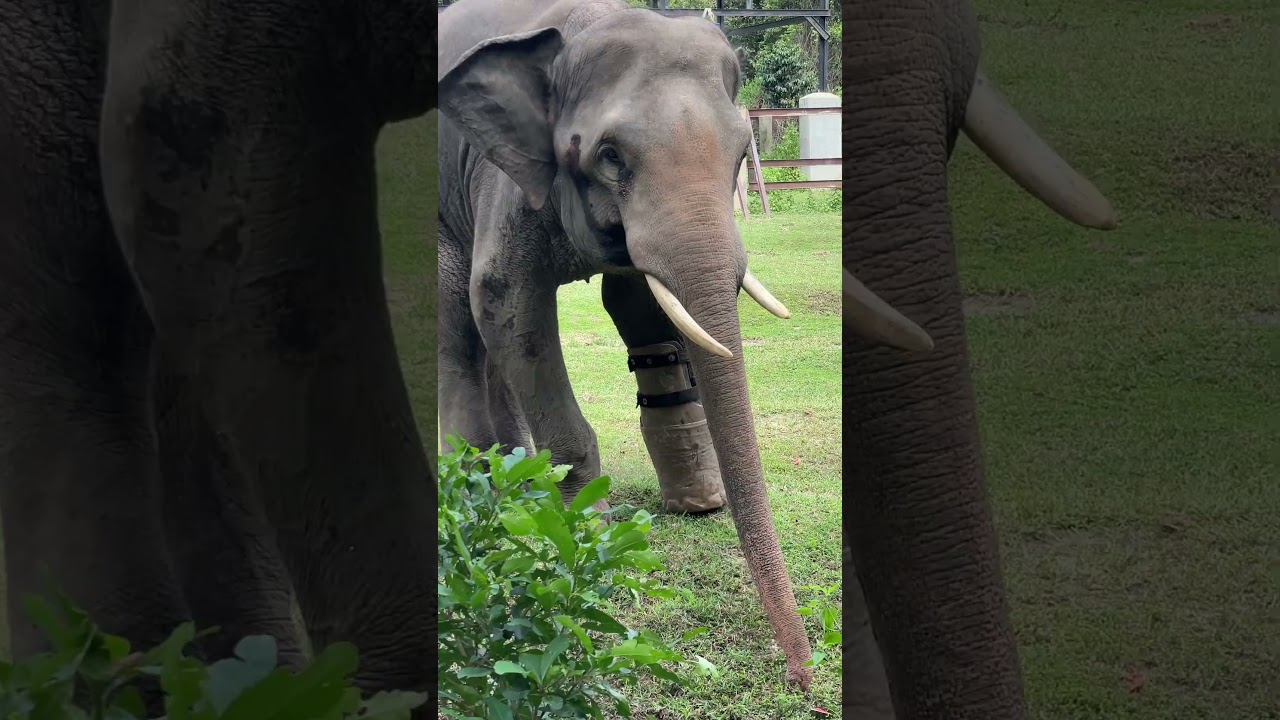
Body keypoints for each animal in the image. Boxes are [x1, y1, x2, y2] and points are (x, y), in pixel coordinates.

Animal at [435, 0, 931, 690]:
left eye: (742, 151)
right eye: (610, 156)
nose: (804, 675)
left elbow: (641, 300)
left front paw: (699, 502)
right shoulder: (502, 176)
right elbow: (504, 298)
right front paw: (578, 522)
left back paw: (513, 472)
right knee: (459, 313)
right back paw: (478, 476)